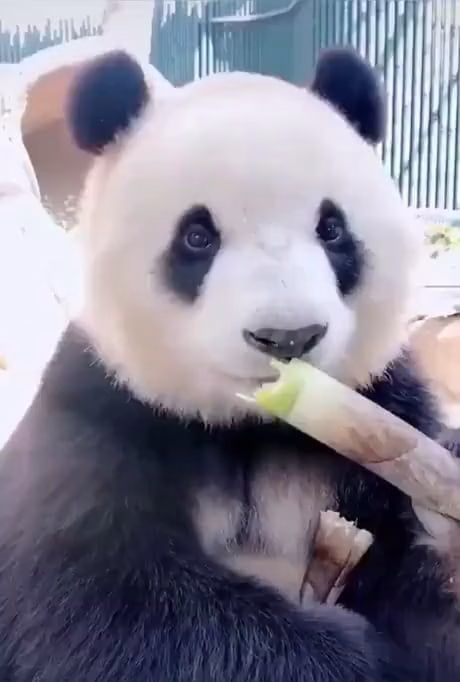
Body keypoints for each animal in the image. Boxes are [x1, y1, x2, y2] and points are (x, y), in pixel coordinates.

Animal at [0, 46, 459, 682]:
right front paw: (358, 653)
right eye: (197, 236)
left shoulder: (388, 405)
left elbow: (412, 577)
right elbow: (98, 606)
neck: (250, 426)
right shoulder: (100, 412)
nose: (288, 336)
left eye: (332, 229)